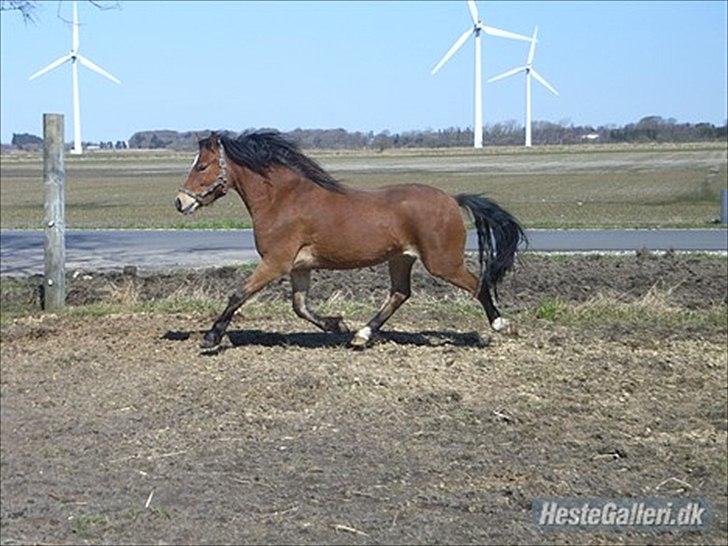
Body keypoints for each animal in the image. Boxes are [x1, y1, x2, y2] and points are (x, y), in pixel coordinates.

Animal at [175, 131, 526, 350]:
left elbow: (238, 294)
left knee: (478, 284)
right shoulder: (299, 267)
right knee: (400, 293)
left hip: (442, 262)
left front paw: (211, 337)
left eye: (202, 165)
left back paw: (502, 325)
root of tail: (453, 200)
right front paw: (337, 325)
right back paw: (361, 335)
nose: (180, 202)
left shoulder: (276, 263)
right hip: (401, 258)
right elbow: (300, 307)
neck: (283, 200)